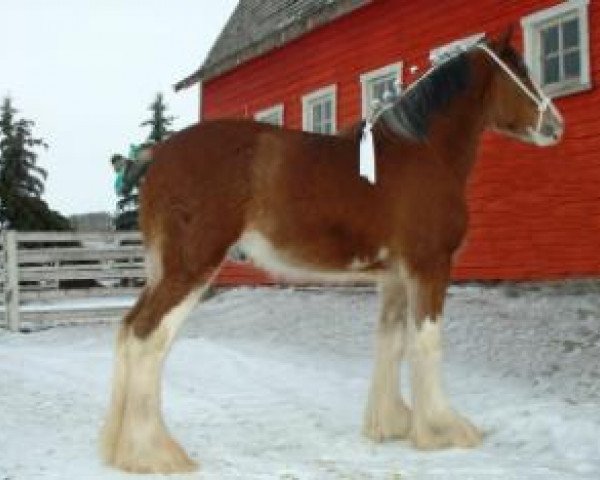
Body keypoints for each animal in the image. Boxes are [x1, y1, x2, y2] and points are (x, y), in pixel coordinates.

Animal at [99, 28, 564, 474]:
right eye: (521, 69)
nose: (556, 125)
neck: (422, 152)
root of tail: (160, 154)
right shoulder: (429, 264)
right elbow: (426, 340)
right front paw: (442, 429)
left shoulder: (394, 275)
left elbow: (392, 341)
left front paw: (391, 423)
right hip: (192, 266)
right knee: (148, 336)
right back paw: (154, 453)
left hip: (163, 269)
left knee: (128, 328)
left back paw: (119, 448)